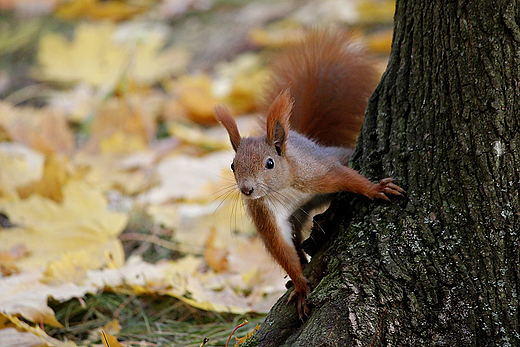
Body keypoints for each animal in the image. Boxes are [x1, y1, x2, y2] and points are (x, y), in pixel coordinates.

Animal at [213, 28, 404, 320]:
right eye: (233, 165)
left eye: (270, 163)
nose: (247, 189)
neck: (281, 188)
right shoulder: (264, 213)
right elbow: (280, 247)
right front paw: (301, 285)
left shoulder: (317, 172)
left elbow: (347, 177)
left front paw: (375, 189)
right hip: (296, 216)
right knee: (295, 236)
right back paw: (301, 264)